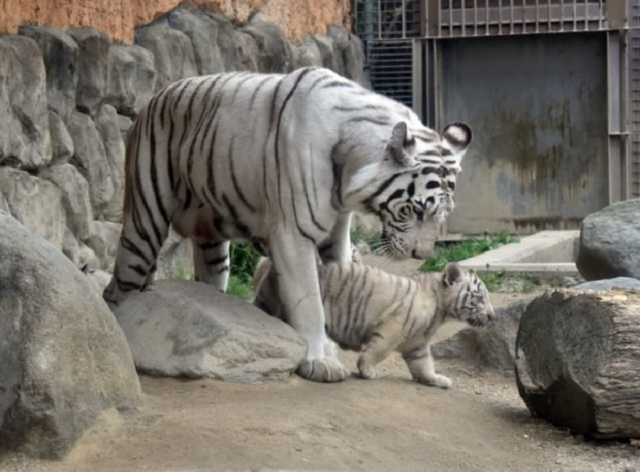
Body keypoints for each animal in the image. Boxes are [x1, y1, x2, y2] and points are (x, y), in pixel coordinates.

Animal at [104, 66, 470, 384]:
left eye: (442, 214)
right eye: (416, 210)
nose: (422, 255)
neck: (349, 167)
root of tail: (153, 97)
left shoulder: (337, 232)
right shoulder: (293, 233)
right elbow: (309, 302)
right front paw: (320, 361)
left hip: (212, 238)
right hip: (145, 217)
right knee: (122, 283)